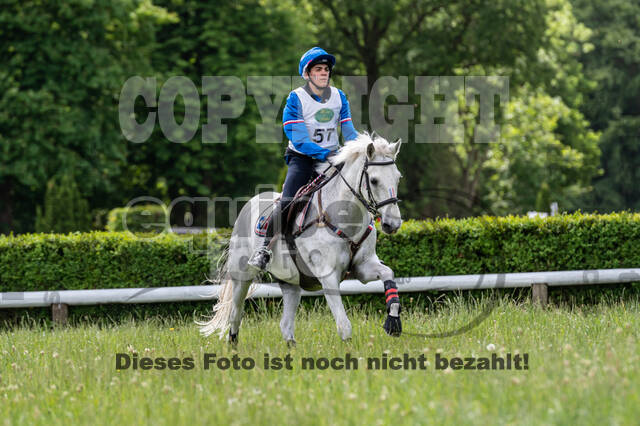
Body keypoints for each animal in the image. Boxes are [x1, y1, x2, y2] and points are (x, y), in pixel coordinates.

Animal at [197, 132, 403, 343]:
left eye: (398, 178)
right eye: (374, 180)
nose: (393, 224)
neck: (344, 218)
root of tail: (248, 204)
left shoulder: (363, 267)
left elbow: (388, 274)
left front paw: (393, 322)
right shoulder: (328, 276)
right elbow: (344, 325)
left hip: (290, 283)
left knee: (286, 325)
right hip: (242, 276)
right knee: (235, 315)